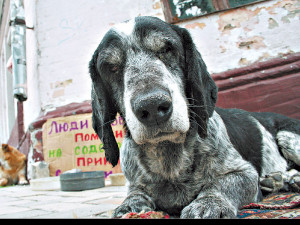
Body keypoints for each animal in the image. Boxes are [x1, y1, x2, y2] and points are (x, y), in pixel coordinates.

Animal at [89, 15, 300, 218]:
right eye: (111, 67)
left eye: (167, 49)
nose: (152, 105)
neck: (169, 156)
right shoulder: (135, 184)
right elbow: (135, 194)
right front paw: (129, 207)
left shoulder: (244, 173)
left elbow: (220, 184)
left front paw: (209, 203)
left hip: (287, 136)